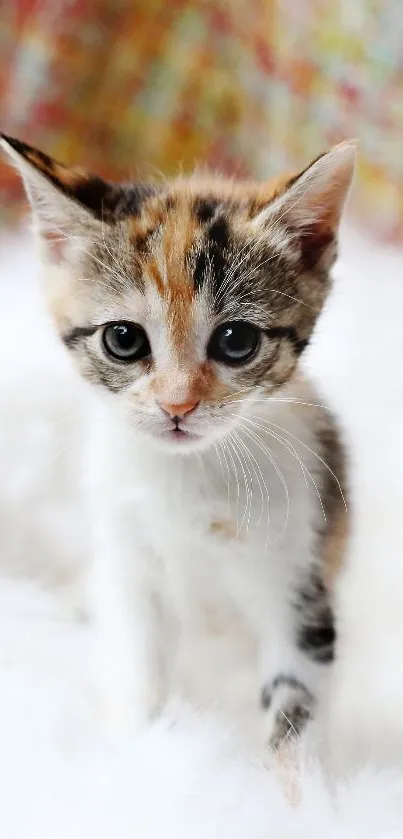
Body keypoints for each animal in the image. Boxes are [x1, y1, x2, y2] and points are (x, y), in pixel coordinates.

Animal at [0, 138, 354, 748]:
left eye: (236, 341)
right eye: (123, 339)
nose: (177, 405)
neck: (189, 475)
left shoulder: (297, 572)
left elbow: (294, 704)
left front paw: (290, 774)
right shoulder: (129, 562)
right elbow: (137, 664)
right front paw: (142, 748)